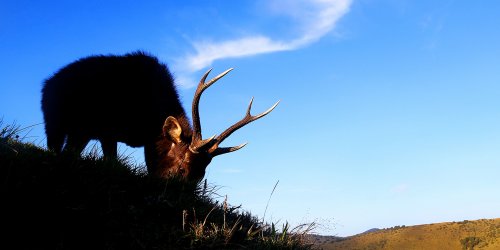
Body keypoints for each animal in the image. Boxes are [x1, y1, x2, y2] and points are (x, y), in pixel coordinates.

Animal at [41, 50, 280, 181]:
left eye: (201, 175)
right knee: (55, 146)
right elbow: (113, 160)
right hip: (55, 121)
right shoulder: (108, 129)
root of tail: (48, 83)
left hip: (79, 131)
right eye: (182, 168)